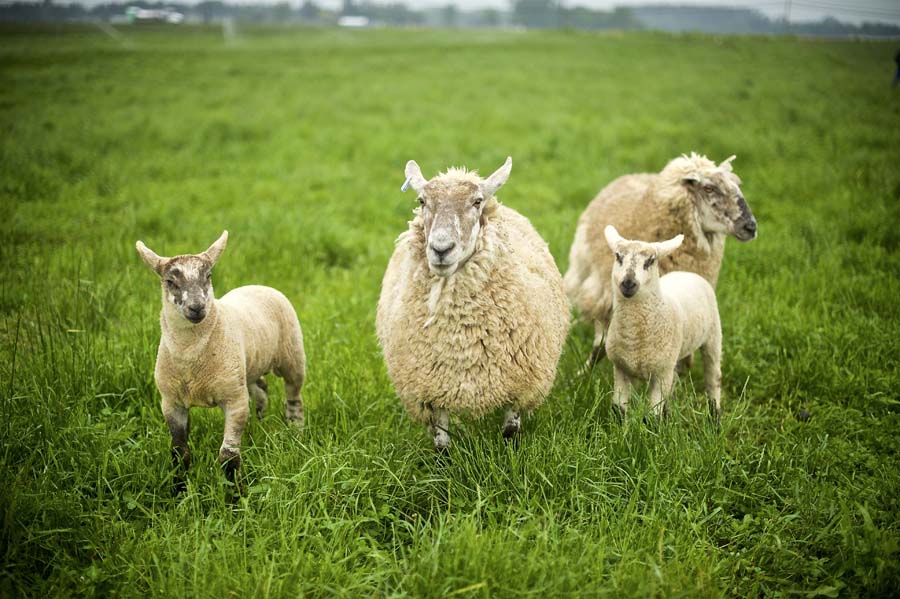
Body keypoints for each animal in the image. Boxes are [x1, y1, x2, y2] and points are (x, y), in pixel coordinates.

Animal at [135, 232, 306, 494]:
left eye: (208, 276)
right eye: (170, 281)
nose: (197, 307)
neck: (191, 356)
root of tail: (257, 285)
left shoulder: (234, 400)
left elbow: (228, 456)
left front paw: (235, 496)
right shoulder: (171, 402)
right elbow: (179, 452)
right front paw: (179, 491)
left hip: (292, 355)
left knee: (293, 395)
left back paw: (296, 430)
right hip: (246, 368)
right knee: (261, 386)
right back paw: (259, 420)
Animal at [374, 158, 568, 450]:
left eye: (477, 201)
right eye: (422, 201)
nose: (441, 249)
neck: (462, 335)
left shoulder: (520, 385)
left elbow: (510, 432)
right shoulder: (433, 388)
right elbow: (442, 444)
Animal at [568, 152, 756, 368]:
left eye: (737, 185)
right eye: (709, 188)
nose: (751, 227)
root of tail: (640, 174)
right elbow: (600, 344)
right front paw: (584, 371)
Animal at [604, 225, 724, 422]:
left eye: (651, 261)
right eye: (618, 256)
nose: (628, 283)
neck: (635, 337)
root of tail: (686, 273)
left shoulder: (660, 374)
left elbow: (653, 416)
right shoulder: (621, 369)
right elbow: (618, 409)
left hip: (713, 337)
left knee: (713, 377)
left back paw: (715, 414)